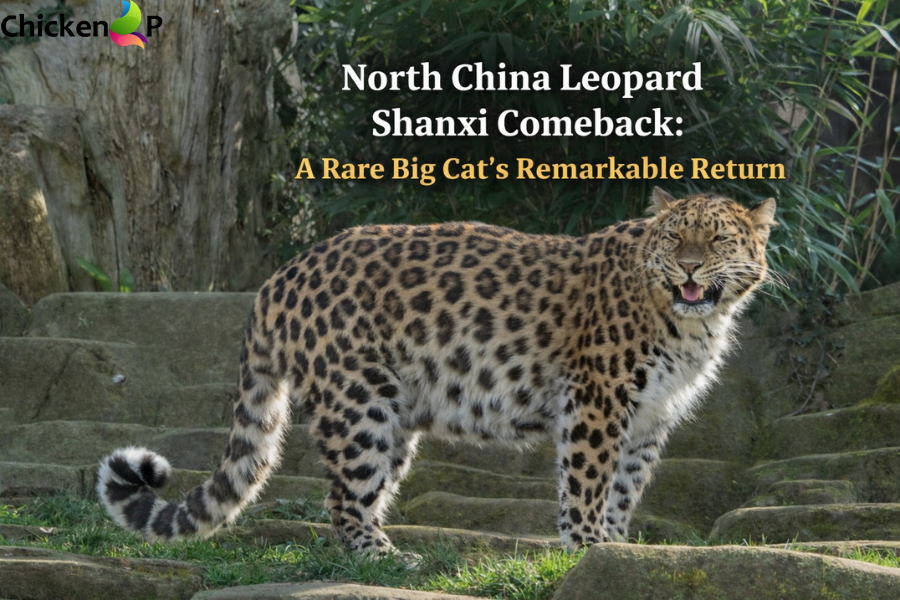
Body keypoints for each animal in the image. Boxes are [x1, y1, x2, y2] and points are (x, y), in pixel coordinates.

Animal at [97, 187, 776, 553]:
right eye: (676, 238)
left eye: (718, 241)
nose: (689, 268)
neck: (690, 322)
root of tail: (280, 277)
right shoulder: (597, 400)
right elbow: (587, 483)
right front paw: (586, 549)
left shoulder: (650, 416)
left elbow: (626, 488)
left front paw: (614, 550)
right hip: (359, 401)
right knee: (342, 499)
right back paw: (384, 559)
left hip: (394, 414)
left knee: (361, 494)